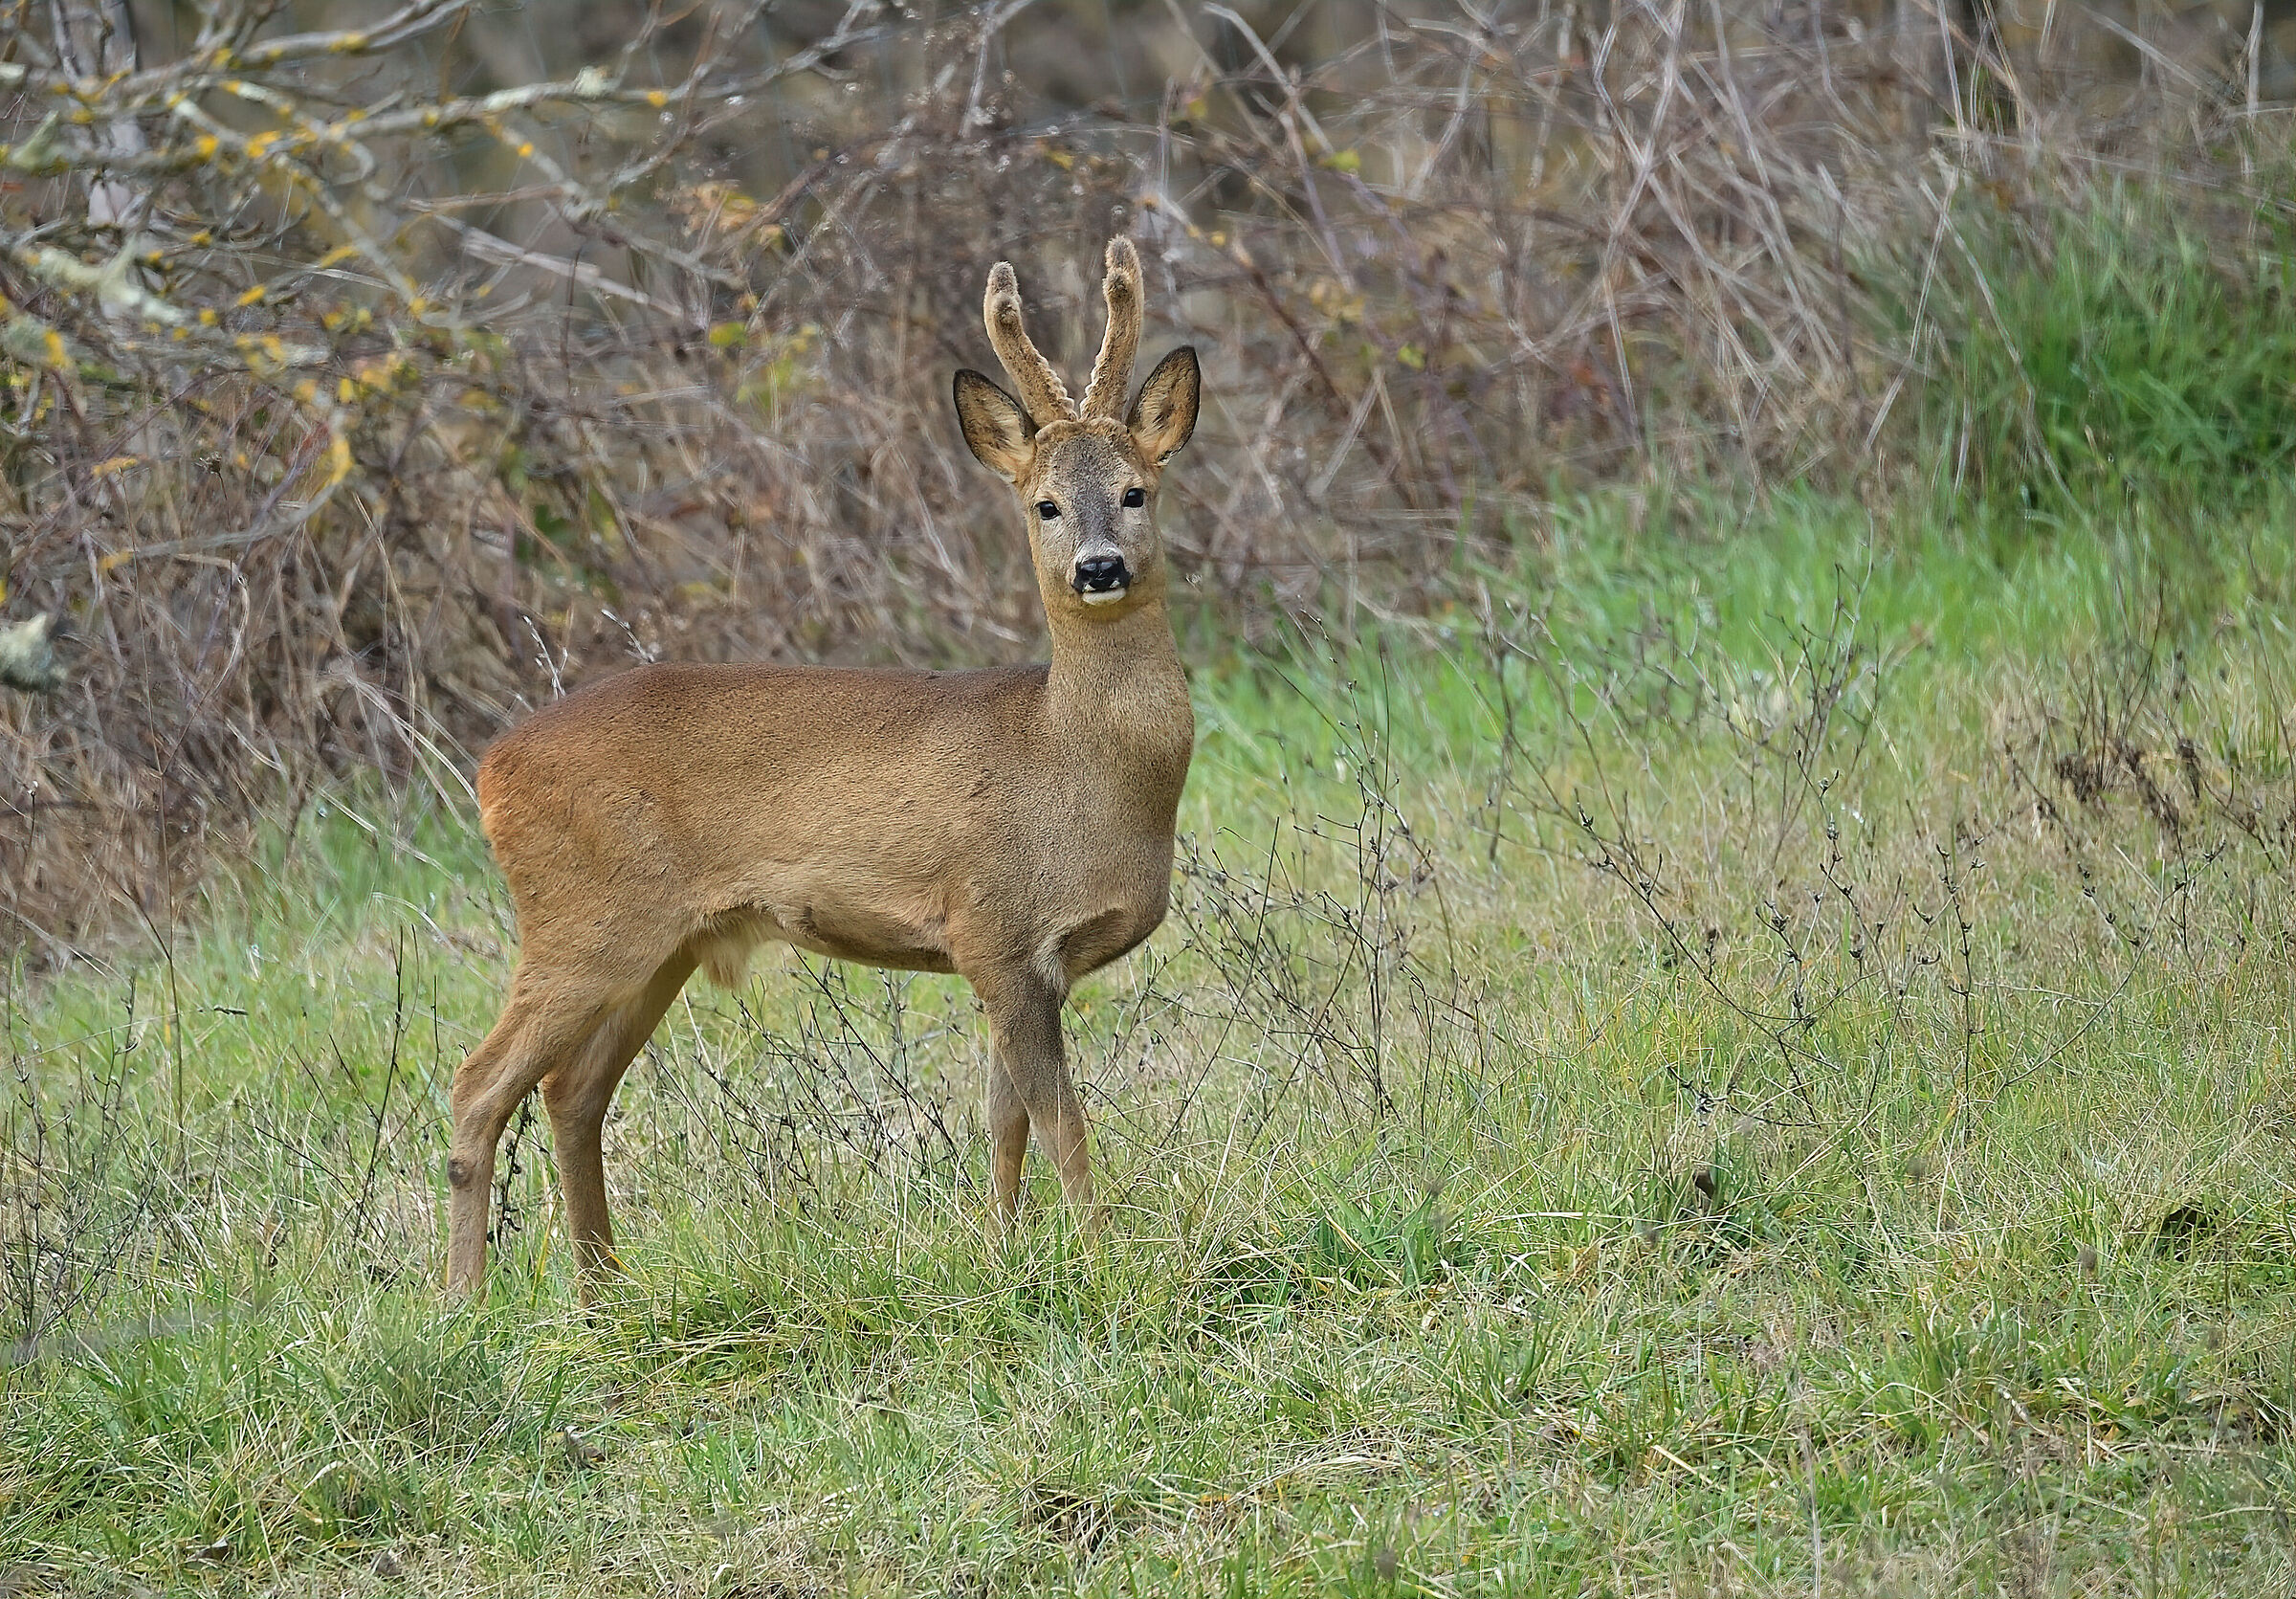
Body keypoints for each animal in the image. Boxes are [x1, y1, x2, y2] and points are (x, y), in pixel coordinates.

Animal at [445, 238, 1201, 1297]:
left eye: (1137, 490)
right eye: (1045, 503)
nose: (1099, 567)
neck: (1069, 759)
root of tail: (490, 767)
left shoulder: (1013, 961)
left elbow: (1005, 1125)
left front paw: (1002, 1254)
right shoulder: (997, 929)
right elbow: (1061, 1124)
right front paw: (1099, 1258)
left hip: (659, 945)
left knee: (571, 1089)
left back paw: (603, 1292)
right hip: (581, 922)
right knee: (478, 1086)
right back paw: (467, 1302)